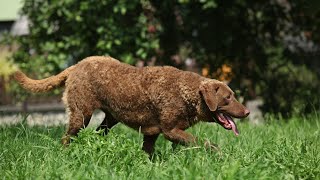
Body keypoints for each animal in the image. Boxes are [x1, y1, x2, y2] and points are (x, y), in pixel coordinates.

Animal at [14, 56, 250, 155]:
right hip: (81, 115)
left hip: (110, 118)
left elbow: (148, 152)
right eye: (228, 98)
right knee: (66, 138)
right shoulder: (171, 130)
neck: (187, 94)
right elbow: (201, 141)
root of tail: (75, 66)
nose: (247, 112)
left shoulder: (152, 133)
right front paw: (218, 152)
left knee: (98, 133)